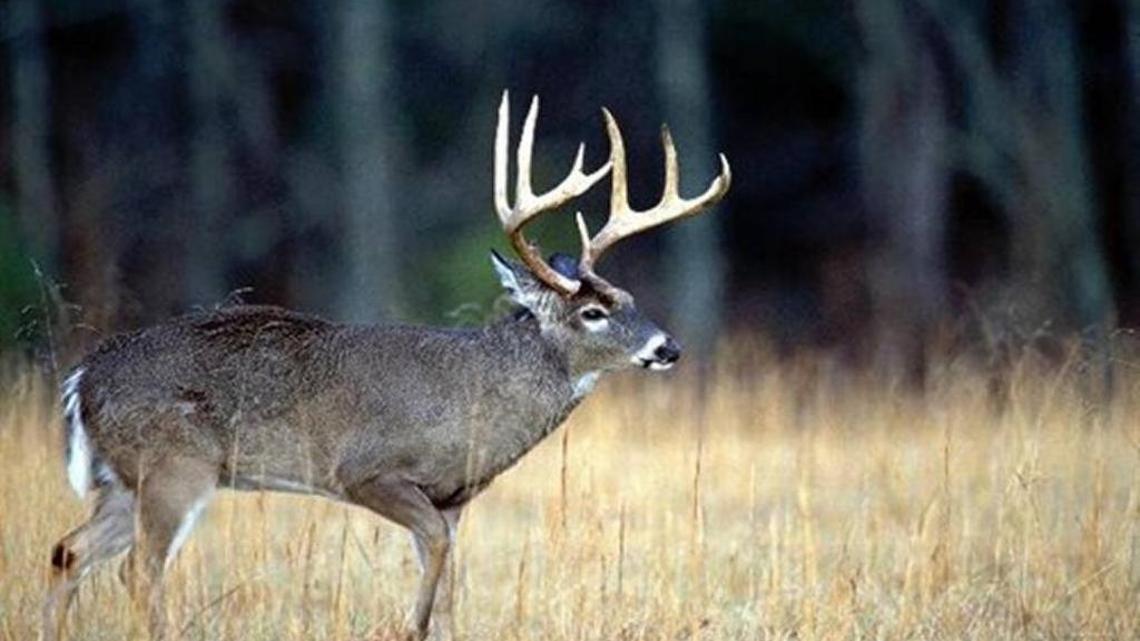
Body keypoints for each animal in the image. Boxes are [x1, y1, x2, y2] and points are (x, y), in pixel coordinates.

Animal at [42, 91, 730, 641]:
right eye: (592, 311)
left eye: (630, 298)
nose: (668, 347)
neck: (480, 395)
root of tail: (82, 380)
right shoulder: (370, 471)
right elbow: (433, 568)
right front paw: (407, 627)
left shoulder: (454, 498)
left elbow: (450, 589)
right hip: (174, 467)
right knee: (138, 571)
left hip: (123, 480)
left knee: (67, 552)